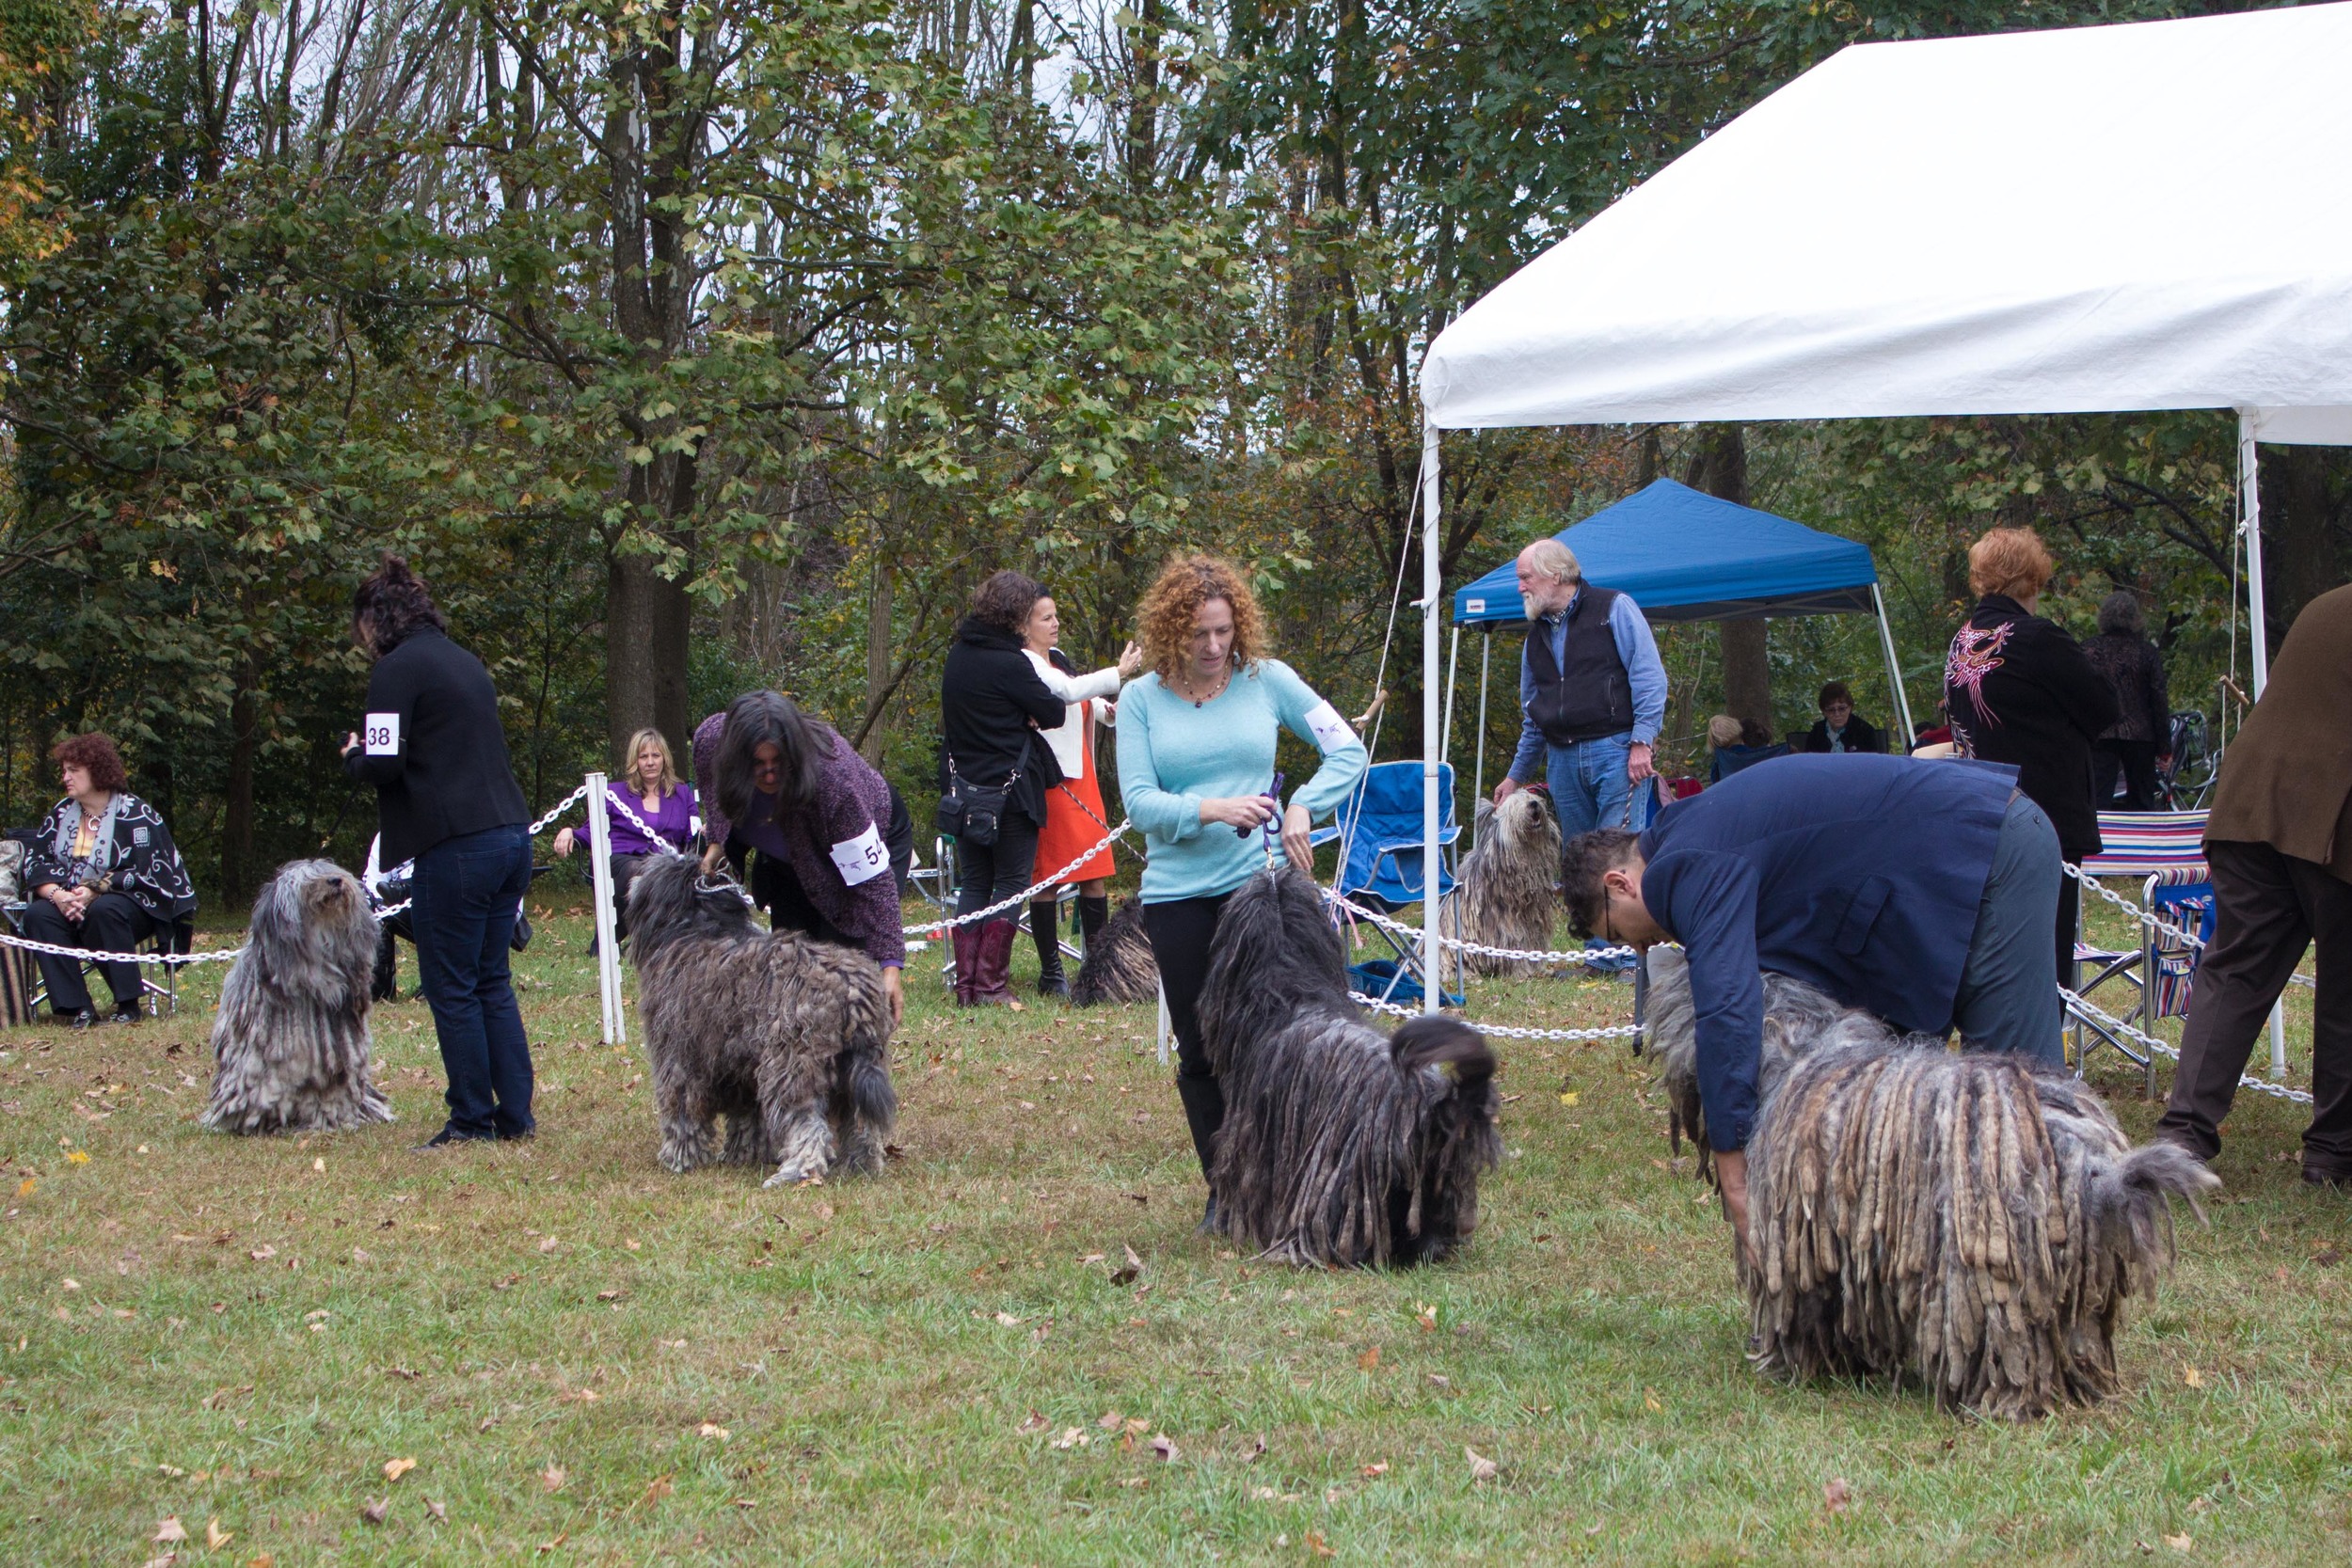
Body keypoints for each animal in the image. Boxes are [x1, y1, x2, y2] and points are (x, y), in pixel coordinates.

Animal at [626, 850, 898, 1184]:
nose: (632, 865)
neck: (698, 926)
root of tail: (852, 990)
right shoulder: (740, 1069)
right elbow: (747, 1118)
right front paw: (745, 1153)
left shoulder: (679, 1059)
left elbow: (682, 1112)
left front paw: (679, 1157)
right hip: (856, 1068)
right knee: (861, 1123)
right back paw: (862, 1164)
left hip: (792, 1066)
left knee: (808, 1124)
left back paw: (798, 1172)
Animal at [1449, 789, 1562, 973]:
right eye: (1515, 804)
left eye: (1533, 798)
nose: (1533, 804)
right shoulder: (1506, 923)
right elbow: (1513, 943)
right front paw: (1522, 970)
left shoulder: (1533, 920)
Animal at [1646, 944, 2211, 1419]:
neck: (1796, 1045)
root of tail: (2089, 1163)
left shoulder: (1802, 1241)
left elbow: (1802, 1310)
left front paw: (1793, 1363)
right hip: (2072, 1283)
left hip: (1982, 1272)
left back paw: (1999, 1402)